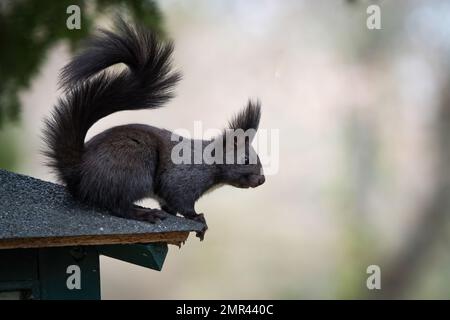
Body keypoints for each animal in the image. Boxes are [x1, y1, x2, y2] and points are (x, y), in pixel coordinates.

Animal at [42, 19, 264, 240]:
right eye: (246, 159)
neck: (209, 163)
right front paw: (198, 218)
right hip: (133, 168)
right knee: (117, 205)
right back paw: (143, 213)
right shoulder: (183, 179)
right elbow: (181, 201)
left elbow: (169, 205)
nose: (262, 180)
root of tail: (78, 170)